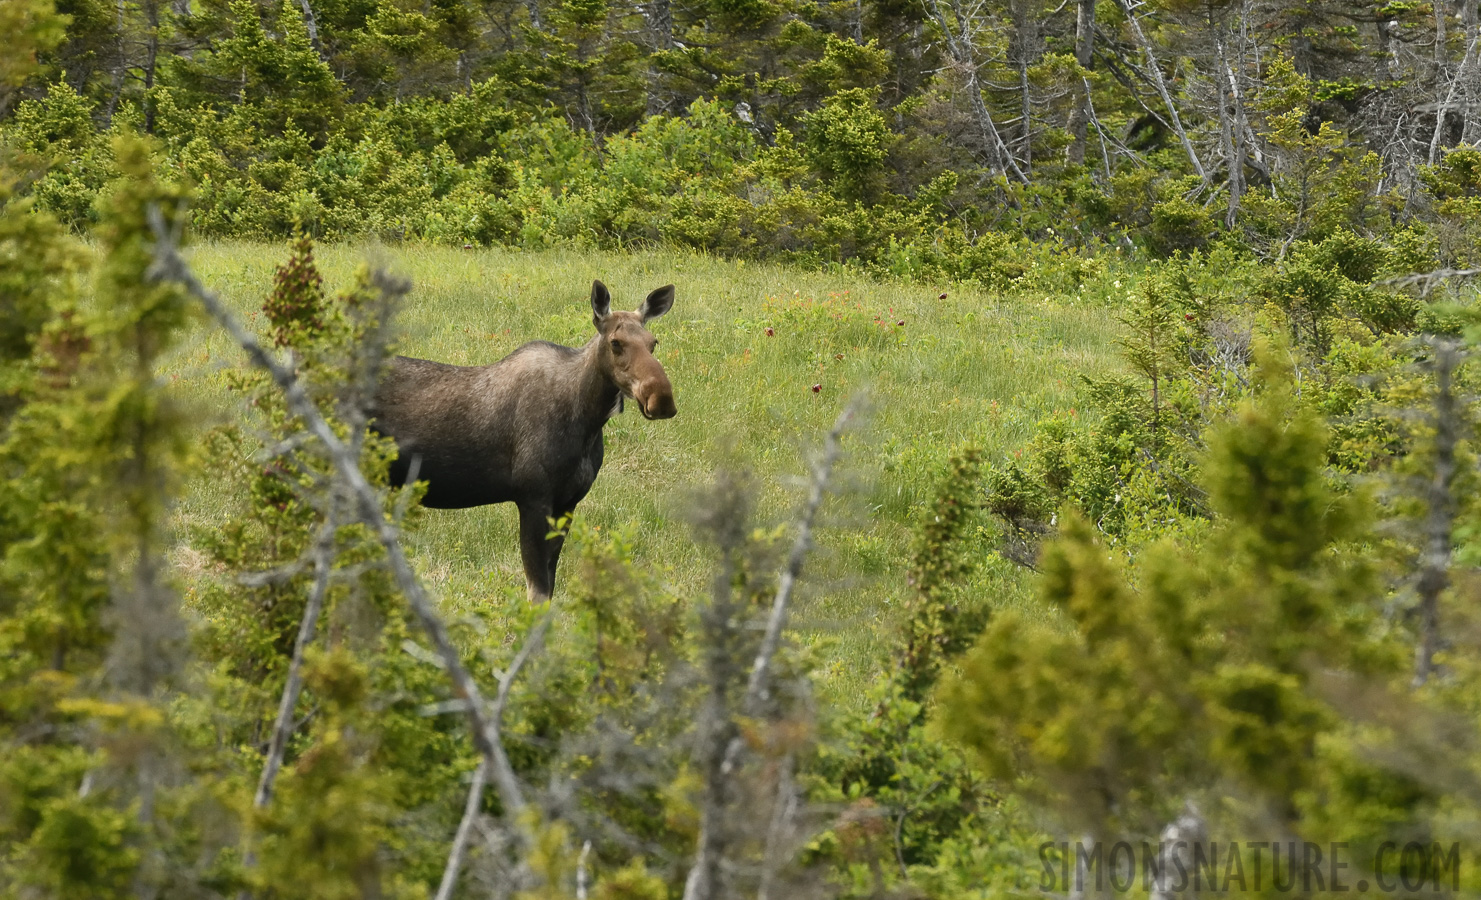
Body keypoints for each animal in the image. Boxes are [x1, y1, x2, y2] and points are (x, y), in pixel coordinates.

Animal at [370, 278, 678, 600]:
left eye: (653, 342)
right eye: (616, 342)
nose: (661, 398)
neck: (587, 420)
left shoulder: (568, 503)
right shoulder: (533, 497)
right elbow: (537, 591)